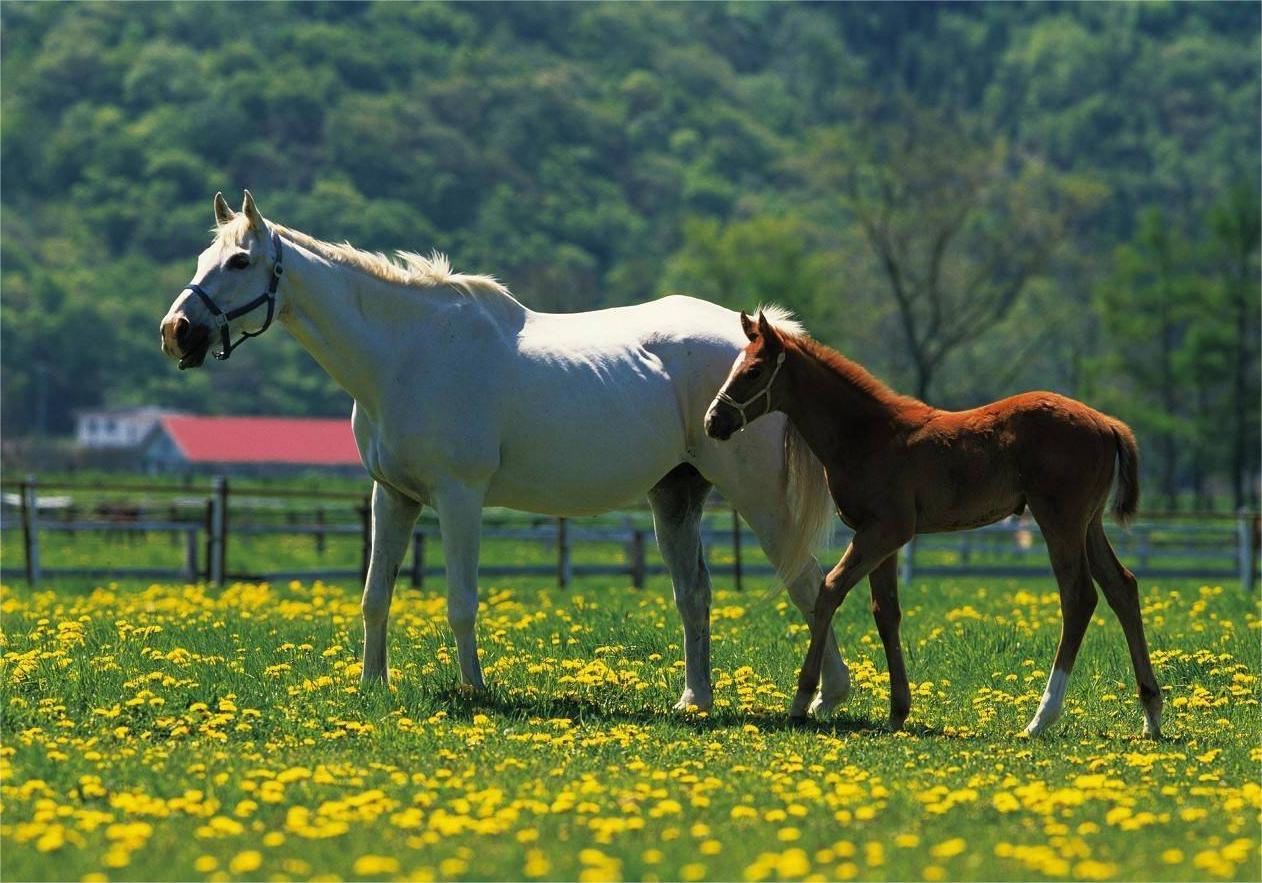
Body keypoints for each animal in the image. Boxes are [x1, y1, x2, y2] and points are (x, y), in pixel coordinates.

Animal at [157, 189, 848, 716]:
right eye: (203, 256)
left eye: (240, 261)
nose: (176, 332)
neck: (407, 354)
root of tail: (766, 344)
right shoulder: (393, 496)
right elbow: (375, 595)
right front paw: (373, 686)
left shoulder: (459, 498)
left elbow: (461, 602)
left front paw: (474, 689)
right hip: (675, 496)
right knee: (695, 596)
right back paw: (695, 702)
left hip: (758, 498)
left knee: (808, 582)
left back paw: (824, 699)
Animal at [706, 310, 1155, 736]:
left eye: (753, 371)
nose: (713, 421)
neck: (868, 435)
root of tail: (1106, 423)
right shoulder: (880, 537)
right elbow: (885, 611)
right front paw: (898, 711)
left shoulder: (885, 530)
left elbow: (829, 590)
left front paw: (805, 699)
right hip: (1088, 523)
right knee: (1122, 587)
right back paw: (1151, 714)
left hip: (1059, 520)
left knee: (1078, 597)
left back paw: (1042, 718)